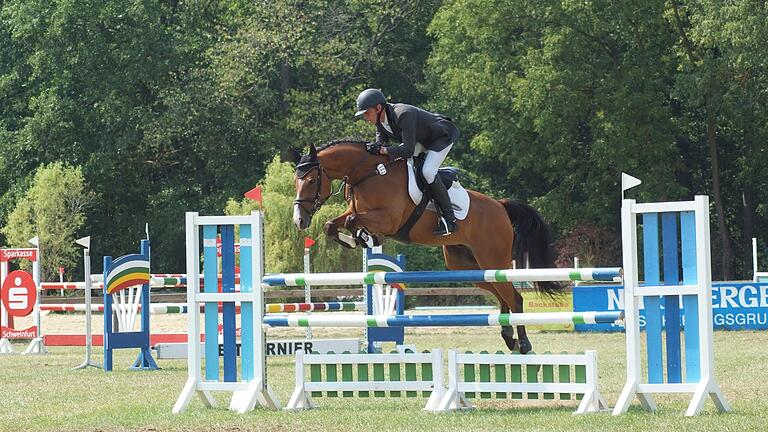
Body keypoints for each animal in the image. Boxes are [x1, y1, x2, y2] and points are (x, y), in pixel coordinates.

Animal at [290, 140, 564, 352]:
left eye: (312, 180)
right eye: (296, 181)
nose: (299, 220)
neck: (368, 174)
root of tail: (500, 205)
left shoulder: (388, 220)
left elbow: (352, 221)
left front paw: (365, 238)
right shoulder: (356, 212)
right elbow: (332, 224)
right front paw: (355, 239)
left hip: (492, 258)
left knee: (514, 296)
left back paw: (524, 343)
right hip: (466, 265)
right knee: (499, 292)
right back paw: (509, 337)